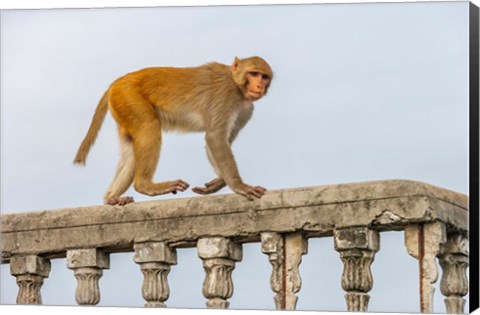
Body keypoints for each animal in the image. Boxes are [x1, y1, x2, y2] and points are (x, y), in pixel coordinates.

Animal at [73, 55, 272, 206]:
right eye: (253, 73)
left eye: (264, 77)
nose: (259, 86)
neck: (237, 85)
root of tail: (115, 84)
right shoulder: (226, 95)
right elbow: (215, 138)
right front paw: (240, 186)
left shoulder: (246, 111)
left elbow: (219, 142)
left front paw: (218, 182)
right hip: (129, 98)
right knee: (149, 127)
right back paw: (146, 186)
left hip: (123, 107)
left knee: (131, 149)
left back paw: (111, 198)